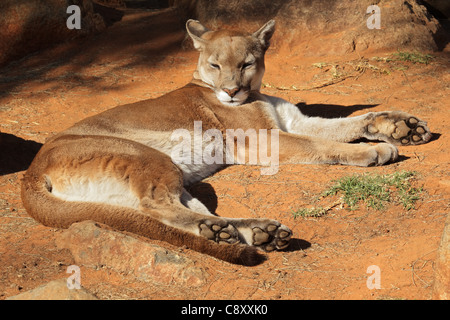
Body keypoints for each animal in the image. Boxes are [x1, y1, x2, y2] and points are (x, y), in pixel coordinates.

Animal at [21, 19, 432, 264]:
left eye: (246, 63)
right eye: (215, 65)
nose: (232, 91)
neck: (257, 93)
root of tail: (31, 170)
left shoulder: (294, 121)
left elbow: (348, 123)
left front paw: (400, 125)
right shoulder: (267, 139)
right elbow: (324, 146)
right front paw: (375, 149)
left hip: (171, 177)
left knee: (182, 210)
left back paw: (251, 233)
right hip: (147, 157)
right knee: (156, 207)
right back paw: (229, 233)